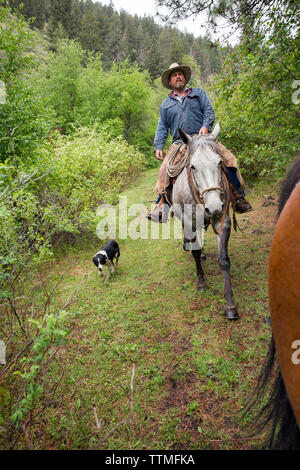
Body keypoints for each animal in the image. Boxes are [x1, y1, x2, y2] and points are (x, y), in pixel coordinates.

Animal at [171, 123, 239, 322]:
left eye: (219, 162)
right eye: (193, 166)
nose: (214, 207)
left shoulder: (223, 222)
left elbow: (224, 260)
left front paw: (230, 305)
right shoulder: (189, 222)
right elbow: (194, 252)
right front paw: (201, 283)